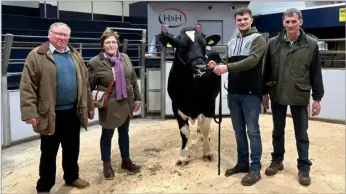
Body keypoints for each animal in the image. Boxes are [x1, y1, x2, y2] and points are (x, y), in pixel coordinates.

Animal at [159, 26, 222, 167]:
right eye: (181, 46)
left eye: (204, 44)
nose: (201, 67)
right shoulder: (176, 106)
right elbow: (184, 131)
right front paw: (183, 157)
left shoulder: (209, 104)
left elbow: (205, 127)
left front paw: (207, 152)